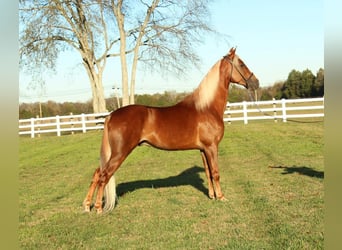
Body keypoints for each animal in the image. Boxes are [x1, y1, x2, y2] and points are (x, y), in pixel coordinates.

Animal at [83, 47, 260, 214]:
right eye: (241, 64)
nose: (256, 83)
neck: (207, 107)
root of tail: (111, 115)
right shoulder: (212, 147)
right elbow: (215, 172)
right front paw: (222, 197)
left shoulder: (203, 149)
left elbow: (208, 173)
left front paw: (212, 196)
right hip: (119, 153)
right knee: (104, 176)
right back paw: (98, 208)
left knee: (97, 173)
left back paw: (87, 206)